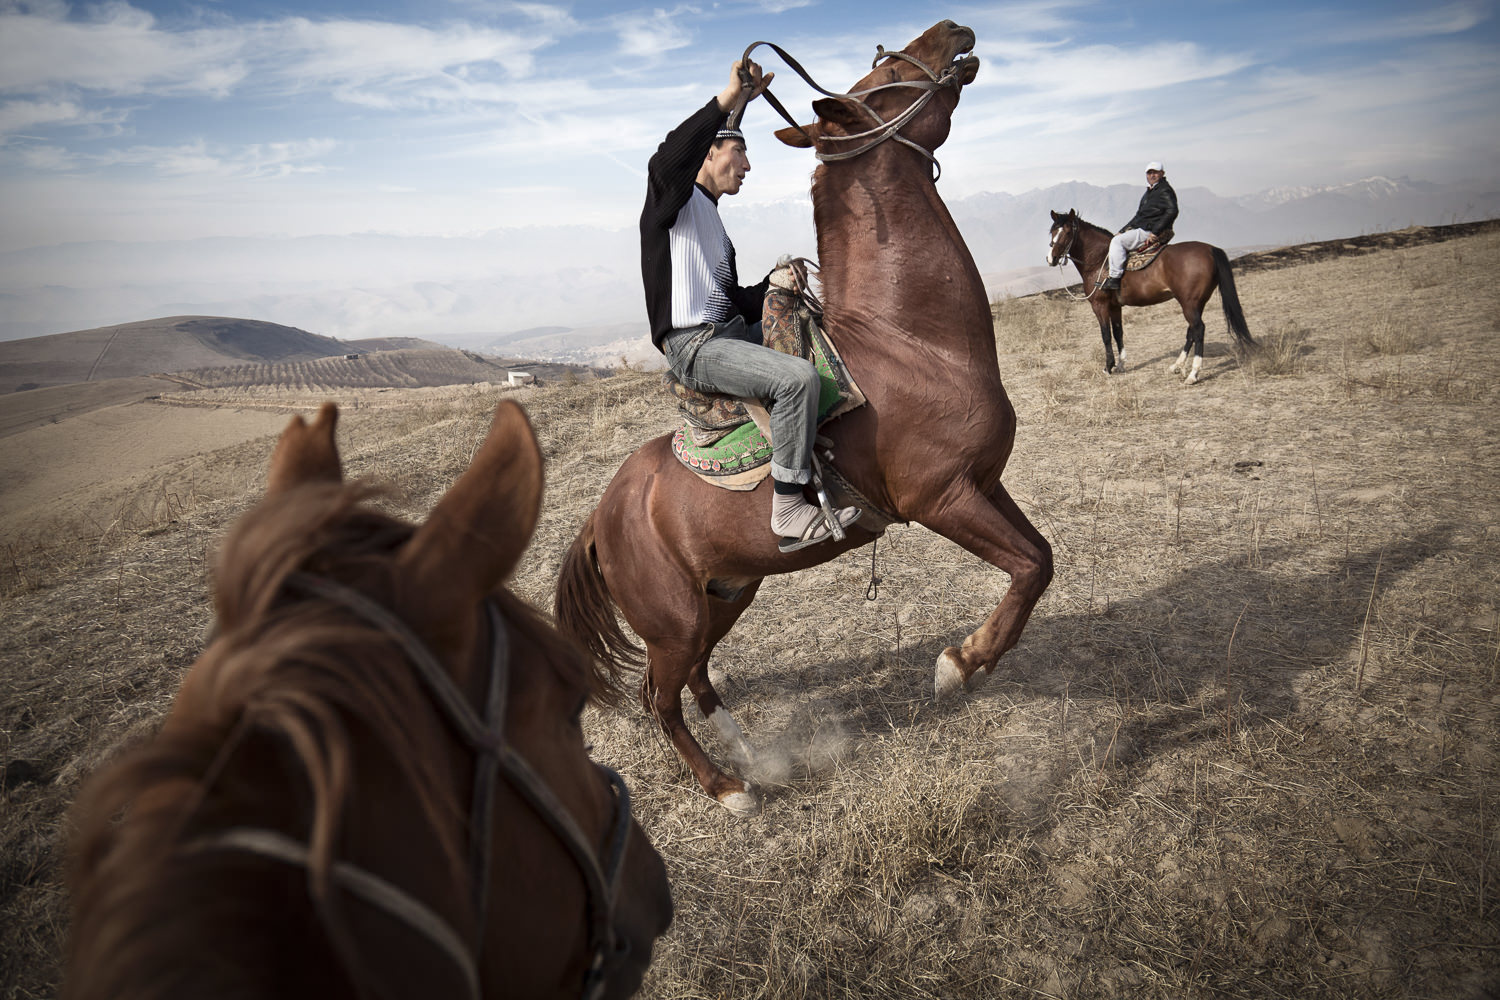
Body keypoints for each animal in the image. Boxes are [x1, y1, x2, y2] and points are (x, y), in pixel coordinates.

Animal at [555, 23, 1056, 815]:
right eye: (878, 80)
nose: (954, 31)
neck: (913, 341)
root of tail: (601, 518)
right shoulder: (942, 498)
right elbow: (1029, 567)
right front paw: (959, 664)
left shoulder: (984, 483)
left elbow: (1040, 559)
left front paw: (971, 660)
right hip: (676, 620)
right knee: (659, 695)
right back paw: (729, 789)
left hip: (727, 592)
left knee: (696, 677)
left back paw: (748, 752)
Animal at [1044, 206, 1254, 383]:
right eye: (1052, 231)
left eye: (1067, 232)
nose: (1051, 258)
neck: (1100, 261)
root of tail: (1210, 249)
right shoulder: (1115, 307)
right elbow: (1118, 332)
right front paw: (1121, 364)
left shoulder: (1100, 305)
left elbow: (1105, 335)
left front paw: (1108, 367)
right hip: (1196, 303)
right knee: (1192, 331)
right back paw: (1177, 366)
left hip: (1189, 303)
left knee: (1199, 329)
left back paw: (1193, 374)